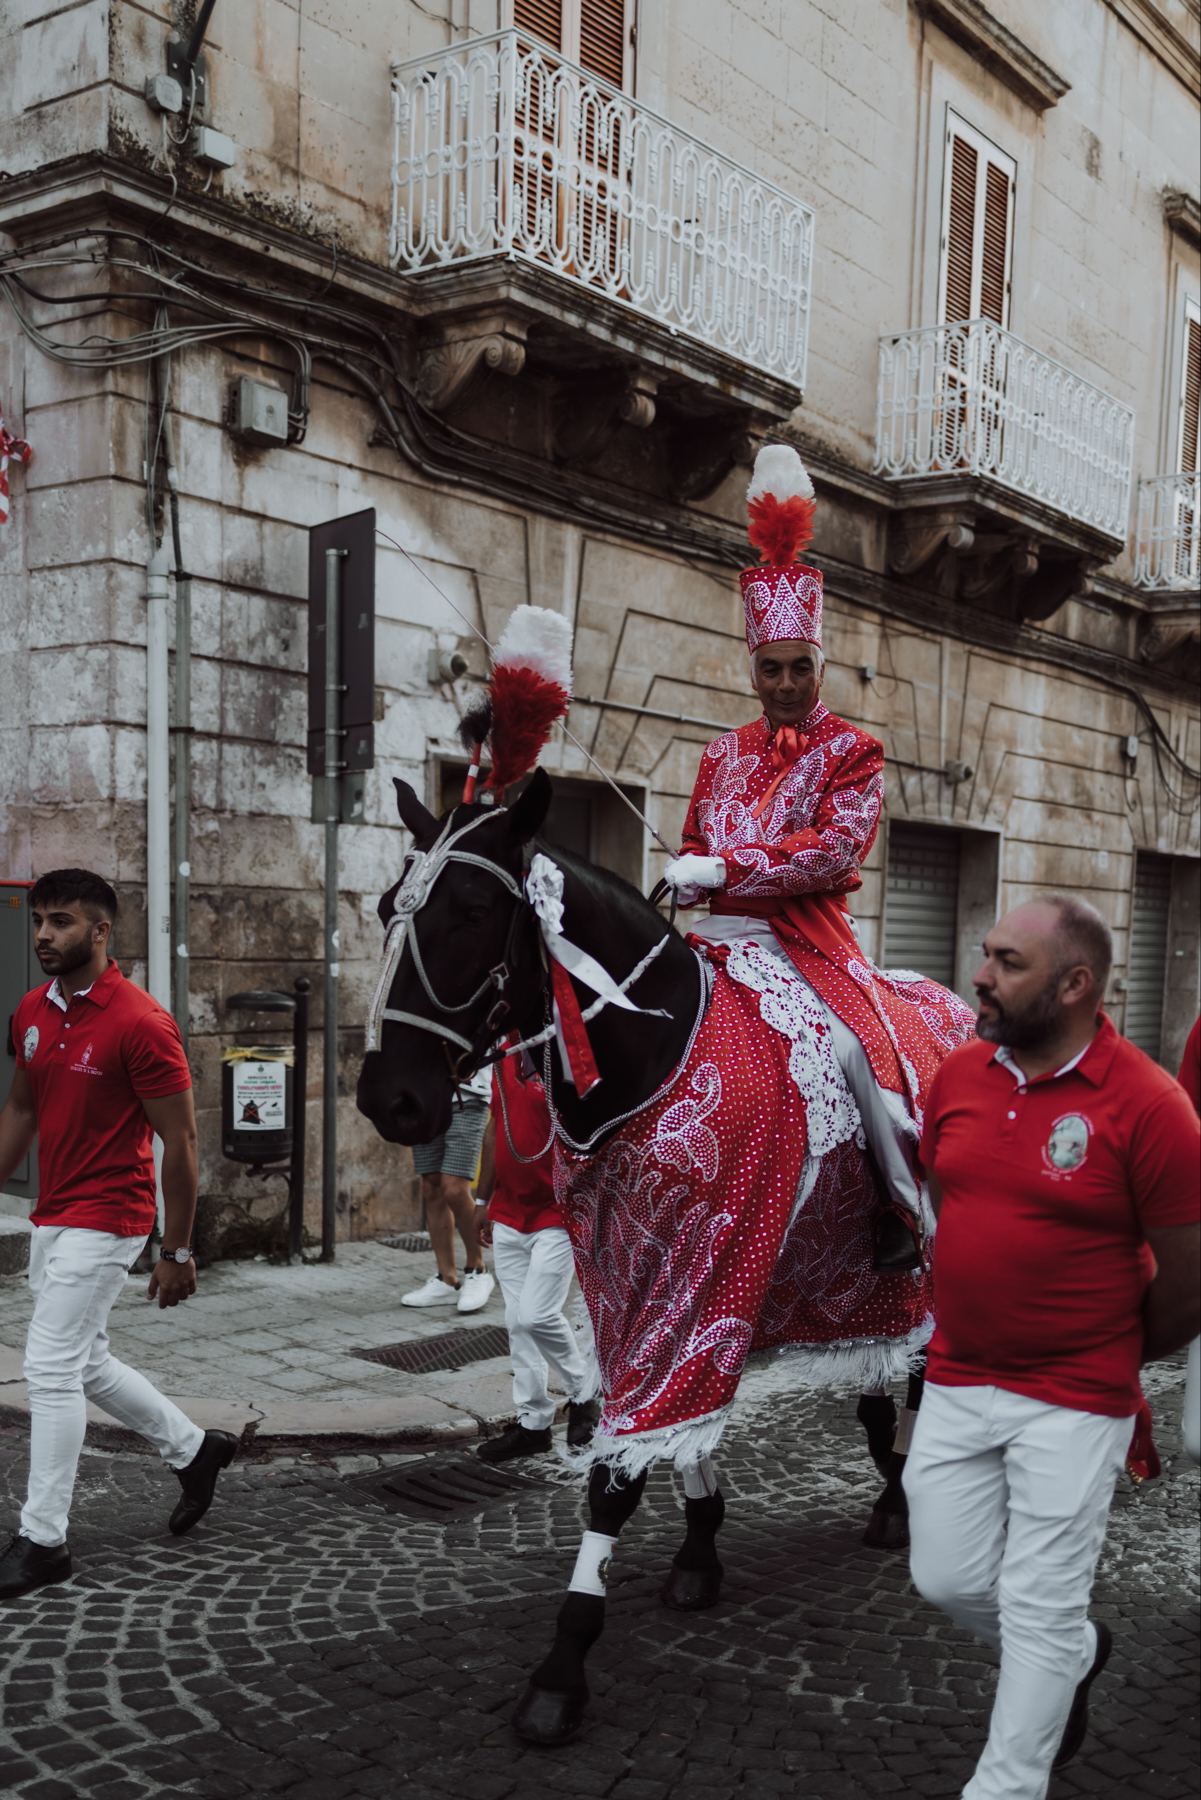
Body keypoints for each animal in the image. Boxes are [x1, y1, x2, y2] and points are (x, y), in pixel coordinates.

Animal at [357, 771, 941, 1745]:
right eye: (383, 909)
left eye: (473, 911)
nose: (388, 1099)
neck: (656, 1054)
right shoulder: (629, 1276)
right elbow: (663, 1430)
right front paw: (700, 1545)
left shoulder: (705, 1272)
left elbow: (619, 1469)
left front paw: (562, 1666)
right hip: (851, 1281)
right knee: (875, 1382)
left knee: (928, 1381)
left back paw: (908, 1503)